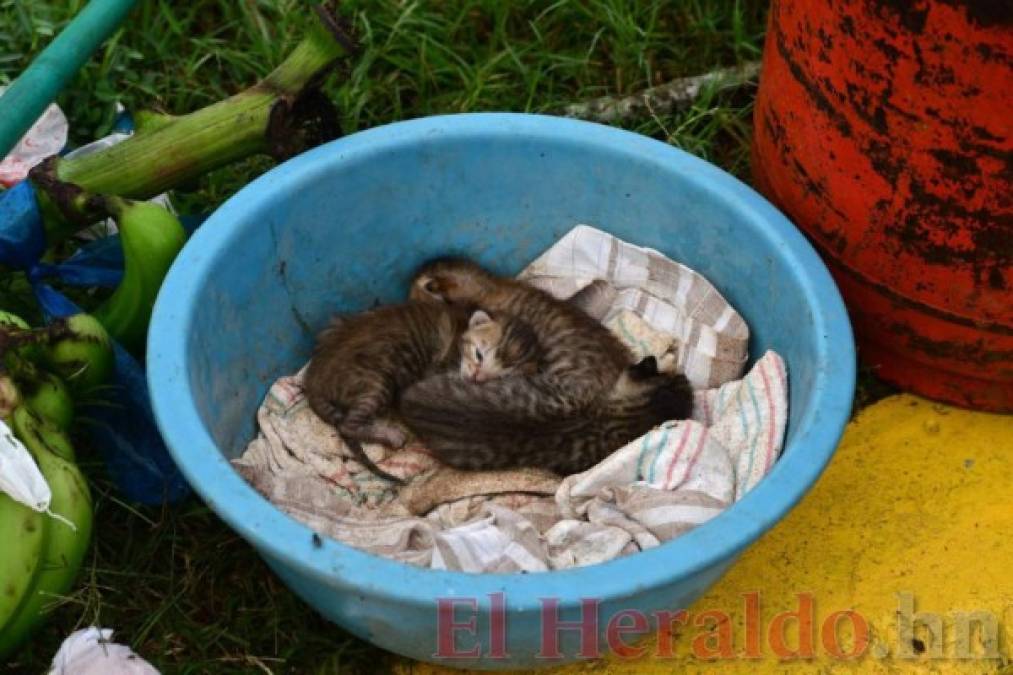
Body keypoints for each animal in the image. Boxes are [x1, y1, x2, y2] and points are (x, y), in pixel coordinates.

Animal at [303, 302, 542, 480]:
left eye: (499, 377)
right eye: (479, 354)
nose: (476, 378)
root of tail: (312, 379)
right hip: (376, 383)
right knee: (347, 424)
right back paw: (391, 434)